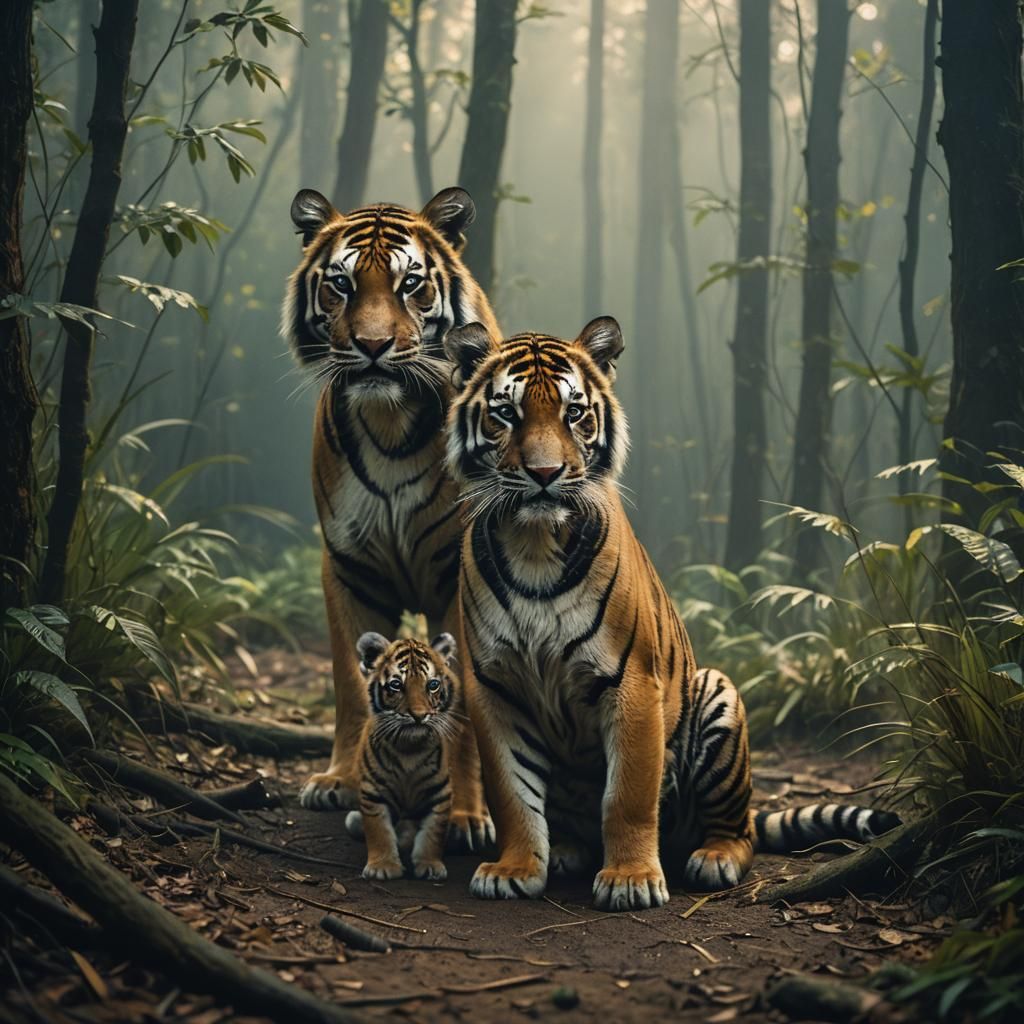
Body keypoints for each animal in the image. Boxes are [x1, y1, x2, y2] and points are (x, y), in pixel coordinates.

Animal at [280, 186, 500, 849]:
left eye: (410, 285)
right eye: (341, 285)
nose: (372, 347)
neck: (389, 421)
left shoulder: (457, 574)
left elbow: (462, 702)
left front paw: (467, 815)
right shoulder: (349, 568)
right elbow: (354, 687)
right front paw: (342, 782)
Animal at [346, 632, 460, 881]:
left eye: (433, 685)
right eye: (396, 685)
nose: (419, 715)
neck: (409, 747)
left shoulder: (440, 794)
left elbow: (433, 834)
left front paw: (430, 865)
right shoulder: (373, 793)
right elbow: (379, 831)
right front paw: (383, 866)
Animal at [442, 316, 901, 911]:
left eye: (574, 412)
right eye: (506, 413)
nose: (545, 473)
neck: (535, 544)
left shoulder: (632, 681)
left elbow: (628, 796)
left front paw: (631, 879)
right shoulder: (494, 687)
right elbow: (512, 794)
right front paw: (515, 868)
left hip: (718, 696)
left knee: (740, 830)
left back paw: (713, 858)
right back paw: (565, 849)